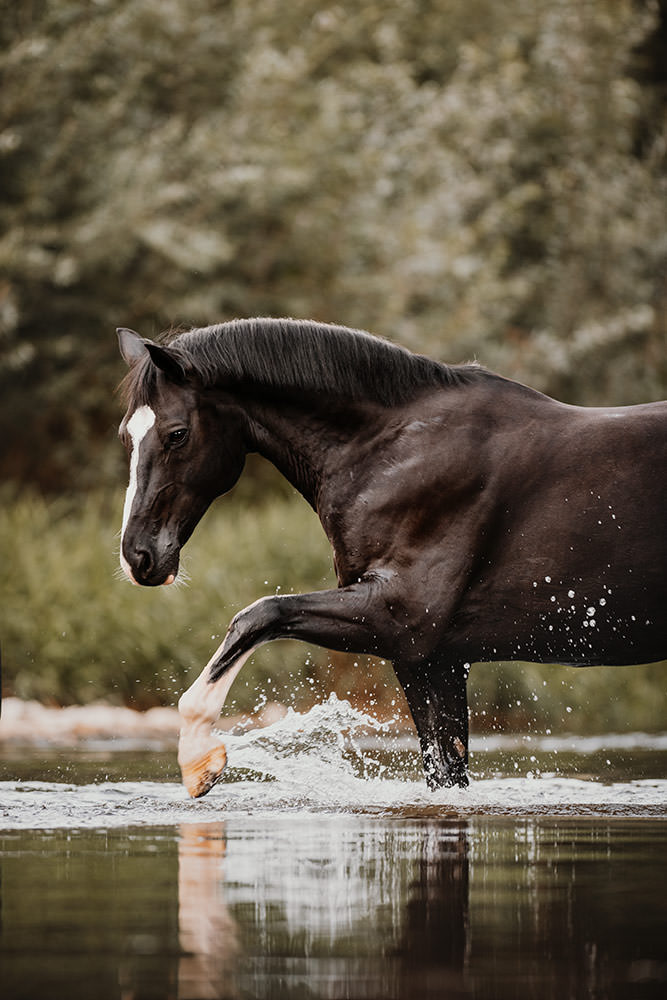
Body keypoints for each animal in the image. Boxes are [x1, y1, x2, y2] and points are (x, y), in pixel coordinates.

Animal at [117, 319, 667, 797]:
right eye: (127, 435)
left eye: (177, 433)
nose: (137, 555)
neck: (393, 454)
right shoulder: (431, 658)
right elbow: (446, 771)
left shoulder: (400, 619)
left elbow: (259, 614)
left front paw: (199, 758)